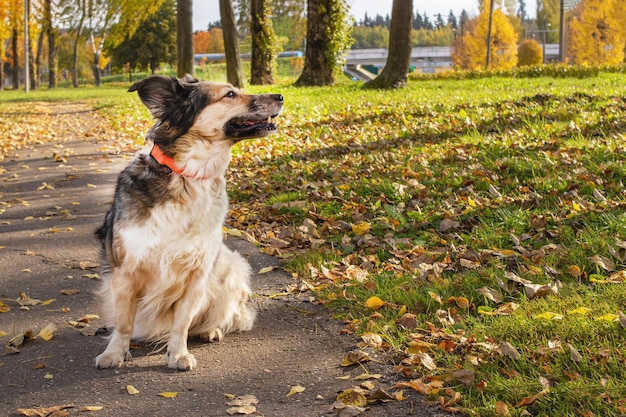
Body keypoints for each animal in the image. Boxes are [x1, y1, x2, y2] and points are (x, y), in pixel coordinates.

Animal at [93, 75, 282, 370]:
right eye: (230, 94)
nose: (281, 96)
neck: (186, 176)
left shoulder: (197, 274)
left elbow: (181, 323)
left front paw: (178, 354)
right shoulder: (125, 273)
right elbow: (123, 323)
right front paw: (114, 353)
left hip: (231, 268)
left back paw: (210, 330)